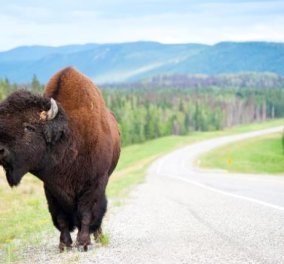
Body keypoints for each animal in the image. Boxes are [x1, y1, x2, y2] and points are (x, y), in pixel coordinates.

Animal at [0, 67, 121, 251]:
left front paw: (83, 242)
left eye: (29, 127)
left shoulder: (94, 183)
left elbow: (87, 213)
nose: (0, 149)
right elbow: (61, 218)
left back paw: (98, 236)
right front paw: (64, 244)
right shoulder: (51, 188)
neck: (68, 137)